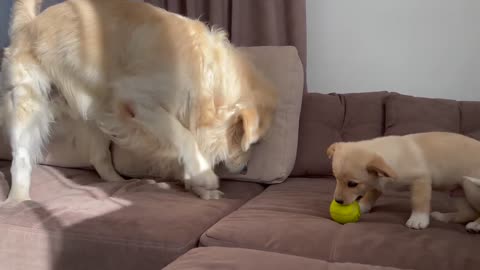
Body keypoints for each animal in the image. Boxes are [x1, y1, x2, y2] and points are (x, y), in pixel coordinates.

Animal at [328, 131, 480, 232]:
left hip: (470, 186)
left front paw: (418, 220)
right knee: (468, 213)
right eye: (336, 179)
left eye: (352, 184)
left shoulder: (421, 179)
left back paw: (476, 225)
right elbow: (371, 194)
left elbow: (419, 201)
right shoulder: (377, 182)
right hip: (457, 191)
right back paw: (444, 217)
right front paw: (363, 206)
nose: (338, 201)